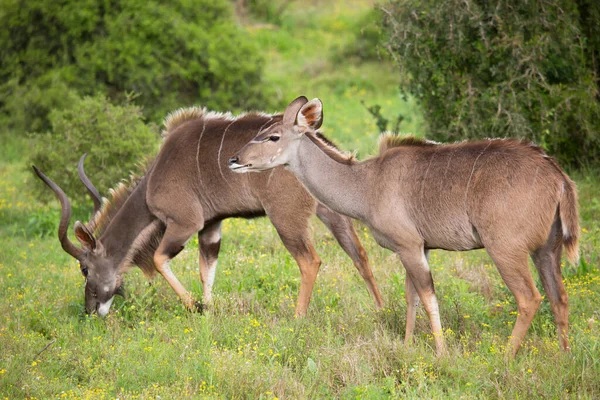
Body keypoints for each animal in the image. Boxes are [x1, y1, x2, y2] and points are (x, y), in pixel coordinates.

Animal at [32, 106, 382, 316]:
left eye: (84, 269)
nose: (90, 310)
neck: (153, 180)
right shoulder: (211, 225)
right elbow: (206, 268)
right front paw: (210, 309)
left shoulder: (186, 221)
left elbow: (159, 258)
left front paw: (195, 306)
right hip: (332, 214)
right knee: (360, 255)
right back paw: (381, 309)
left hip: (286, 218)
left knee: (310, 261)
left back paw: (297, 318)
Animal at [227, 96, 580, 356]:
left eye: (273, 136)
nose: (234, 159)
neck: (367, 182)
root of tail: (558, 177)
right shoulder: (416, 248)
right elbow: (412, 298)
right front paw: (409, 346)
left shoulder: (409, 246)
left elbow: (428, 298)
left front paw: (441, 353)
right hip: (547, 250)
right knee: (559, 296)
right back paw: (564, 356)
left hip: (505, 249)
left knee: (530, 298)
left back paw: (505, 358)